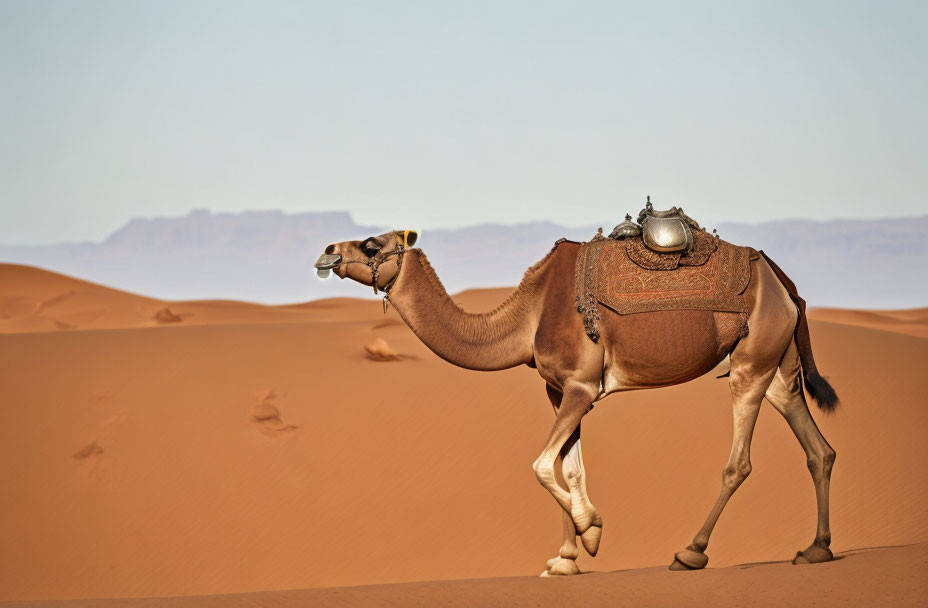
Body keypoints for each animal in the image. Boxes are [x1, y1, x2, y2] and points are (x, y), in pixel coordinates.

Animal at [316, 227, 836, 576]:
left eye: (370, 244)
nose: (326, 252)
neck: (527, 316)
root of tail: (784, 283)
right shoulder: (559, 389)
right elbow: (568, 468)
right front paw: (565, 560)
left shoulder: (581, 387)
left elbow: (541, 465)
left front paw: (590, 531)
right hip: (777, 362)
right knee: (818, 447)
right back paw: (817, 548)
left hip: (751, 361)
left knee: (739, 462)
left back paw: (690, 552)